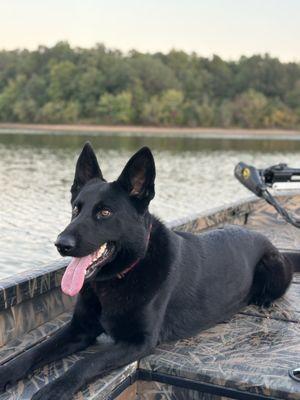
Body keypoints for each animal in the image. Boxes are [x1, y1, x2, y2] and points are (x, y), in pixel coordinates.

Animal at [0, 143, 292, 396]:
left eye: (105, 213)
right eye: (75, 209)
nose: (61, 244)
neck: (121, 276)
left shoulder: (138, 342)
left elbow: (85, 363)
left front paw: (54, 389)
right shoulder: (79, 329)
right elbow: (33, 353)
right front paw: (7, 373)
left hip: (273, 266)